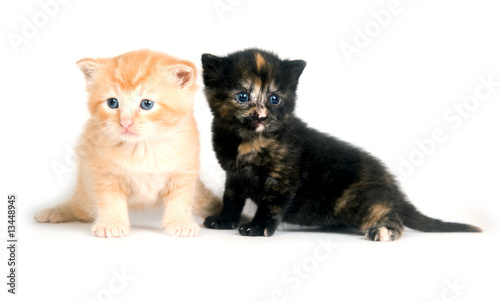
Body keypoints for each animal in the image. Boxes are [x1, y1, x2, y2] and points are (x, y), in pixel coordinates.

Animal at [35, 49, 221, 237]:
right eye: (112, 102)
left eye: (146, 104)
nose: (125, 122)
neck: (143, 147)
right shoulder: (104, 173)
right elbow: (110, 200)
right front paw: (111, 223)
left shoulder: (185, 171)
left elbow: (181, 198)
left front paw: (179, 222)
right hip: (86, 189)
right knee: (79, 206)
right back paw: (53, 212)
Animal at [201, 47, 482, 241]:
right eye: (243, 96)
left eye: (274, 98)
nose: (261, 116)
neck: (248, 141)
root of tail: (390, 182)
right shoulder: (234, 175)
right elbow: (231, 199)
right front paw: (224, 220)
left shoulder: (283, 176)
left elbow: (271, 204)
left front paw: (258, 227)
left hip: (361, 202)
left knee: (389, 214)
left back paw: (384, 230)